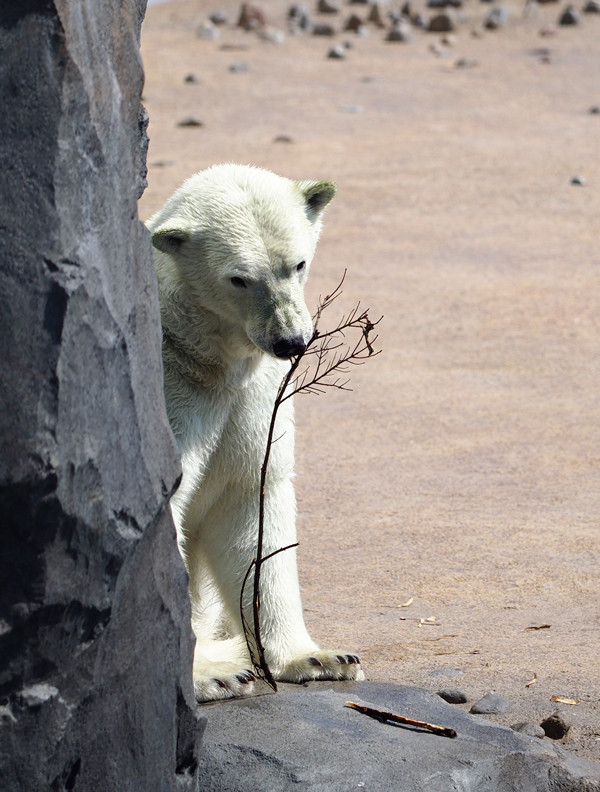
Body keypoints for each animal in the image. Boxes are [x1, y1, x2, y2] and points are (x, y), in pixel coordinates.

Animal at [149, 164, 366, 704]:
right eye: (239, 278)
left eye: (298, 264)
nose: (290, 340)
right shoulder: (172, 394)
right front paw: (210, 675)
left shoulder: (251, 403)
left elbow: (251, 505)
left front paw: (319, 658)